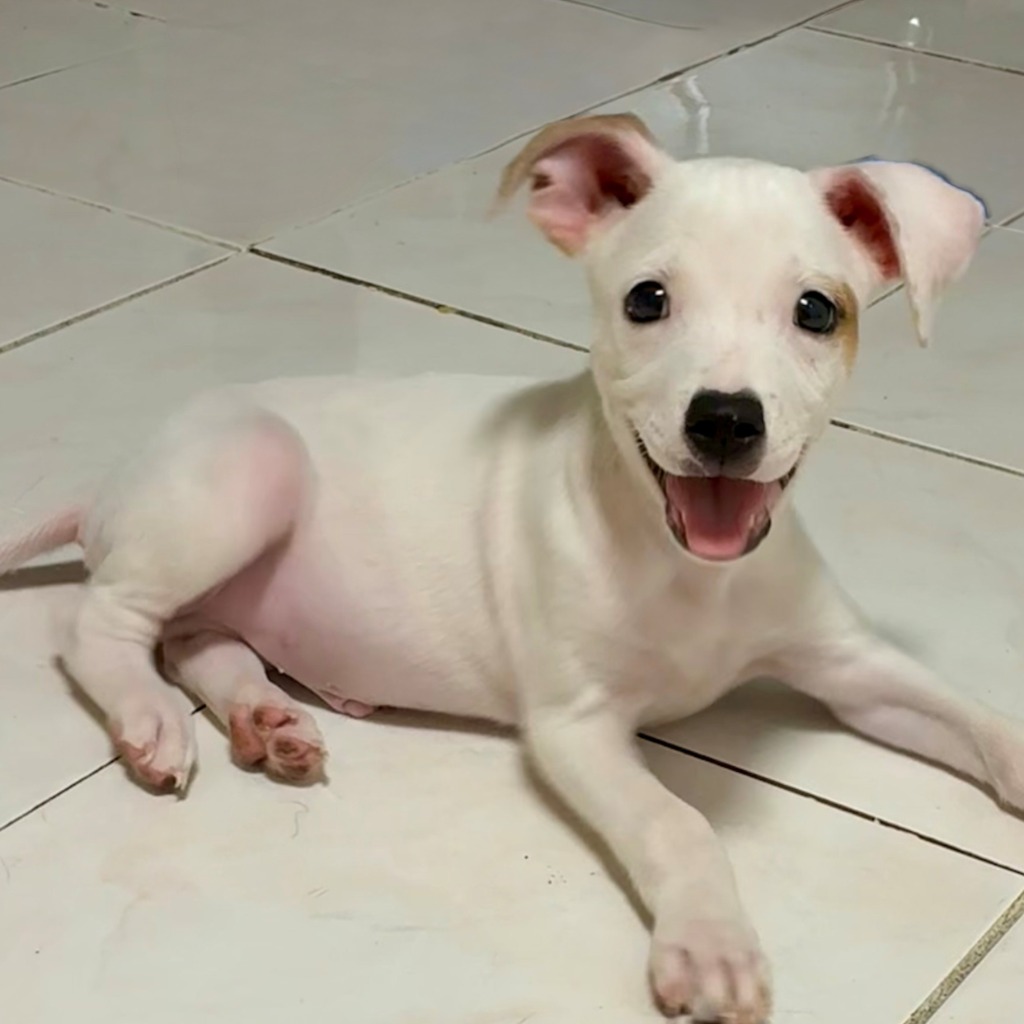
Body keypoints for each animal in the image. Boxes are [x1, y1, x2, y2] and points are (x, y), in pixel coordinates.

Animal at [2, 114, 1019, 1023]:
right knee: (98, 625)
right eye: (646, 300)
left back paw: (265, 718)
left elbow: (981, 720)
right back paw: (149, 720)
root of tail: (115, 477)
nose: (725, 421)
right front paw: (712, 947)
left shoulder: (851, 665)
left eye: (817, 310)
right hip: (246, 470)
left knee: (196, 639)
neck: (686, 566)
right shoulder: (576, 728)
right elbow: (679, 822)